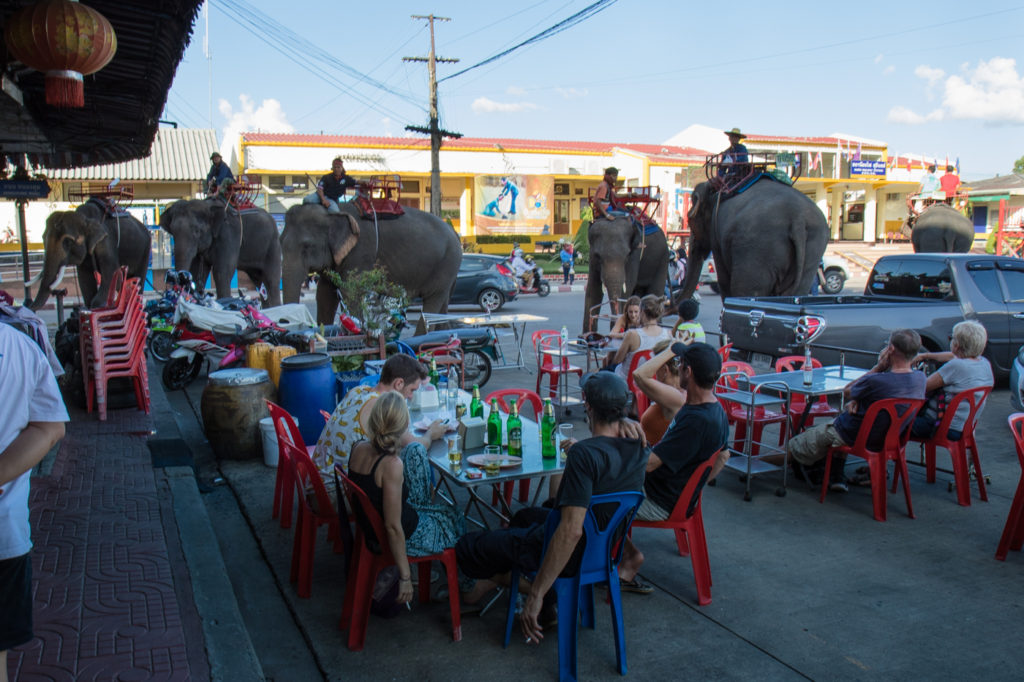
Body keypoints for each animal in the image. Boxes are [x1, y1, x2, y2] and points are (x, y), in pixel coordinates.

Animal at [276, 201, 460, 323]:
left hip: (446, 264)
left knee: (433, 301)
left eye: (307, 246)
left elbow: (351, 293)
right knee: (443, 306)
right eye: (280, 241)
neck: (332, 213)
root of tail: (454, 233)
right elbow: (325, 294)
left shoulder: (360, 252)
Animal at [679, 179, 831, 299]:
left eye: (691, 222)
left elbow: (723, 280)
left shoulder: (716, 234)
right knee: (798, 289)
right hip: (814, 248)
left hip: (756, 247)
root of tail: (797, 218)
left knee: (744, 289)